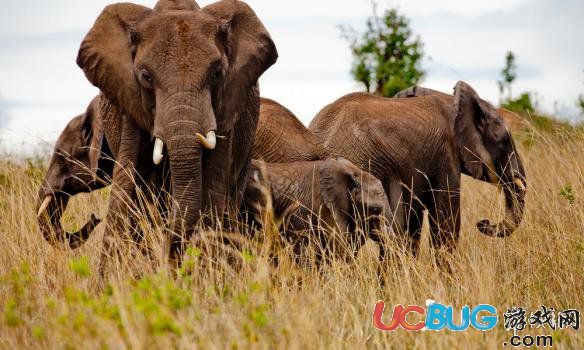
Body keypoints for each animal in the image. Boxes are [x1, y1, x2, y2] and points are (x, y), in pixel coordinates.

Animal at [76, 0, 278, 266]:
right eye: (146, 77)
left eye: (216, 74)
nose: (168, 253)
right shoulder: (128, 99)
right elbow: (125, 184)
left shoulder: (227, 105)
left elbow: (213, 188)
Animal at [310, 81, 528, 258]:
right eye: (505, 140)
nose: (483, 223)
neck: (452, 101)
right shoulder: (446, 155)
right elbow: (445, 224)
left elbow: (412, 226)